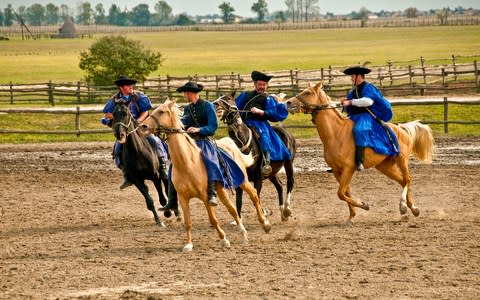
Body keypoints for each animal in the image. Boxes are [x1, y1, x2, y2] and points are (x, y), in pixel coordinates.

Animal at [141, 100, 272, 251]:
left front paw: (224, 240)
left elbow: (213, 219)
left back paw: (265, 224)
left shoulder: (205, 197)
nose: (143, 126)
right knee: (232, 209)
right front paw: (188, 244)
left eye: (161, 112)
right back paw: (243, 233)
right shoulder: (183, 198)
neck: (187, 163)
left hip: (242, 181)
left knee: (254, 195)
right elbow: (188, 222)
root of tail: (229, 142)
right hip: (221, 190)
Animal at [214, 94, 296, 223]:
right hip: (272, 173)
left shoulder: (258, 179)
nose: (215, 104)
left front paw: (263, 214)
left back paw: (287, 210)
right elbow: (239, 200)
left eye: (228, 99)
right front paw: (238, 220)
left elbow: (255, 198)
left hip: (288, 164)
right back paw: (282, 212)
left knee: (290, 182)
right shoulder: (240, 179)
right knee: (279, 186)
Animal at [284, 81, 436, 224]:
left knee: (408, 179)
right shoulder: (337, 171)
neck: (336, 134)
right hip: (385, 166)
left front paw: (364, 205)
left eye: (308, 92)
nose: (288, 103)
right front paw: (352, 216)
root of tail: (401, 128)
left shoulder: (348, 169)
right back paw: (412, 209)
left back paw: (404, 206)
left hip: (401, 159)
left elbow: (340, 193)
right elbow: (345, 192)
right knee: (403, 181)